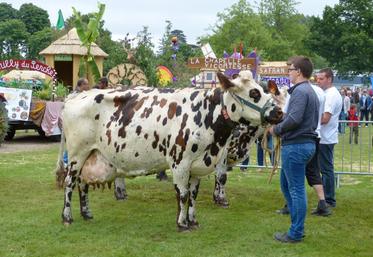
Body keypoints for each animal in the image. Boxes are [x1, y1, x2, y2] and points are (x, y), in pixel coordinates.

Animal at [60, 70, 282, 230]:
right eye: (254, 93)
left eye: (264, 90)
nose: (279, 112)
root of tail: (74, 97)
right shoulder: (180, 163)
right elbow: (182, 194)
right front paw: (182, 223)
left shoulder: (198, 166)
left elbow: (193, 194)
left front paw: (193, 221)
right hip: (77, 154)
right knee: (70, 183)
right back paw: (67, 217)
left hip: (91, 155)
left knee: (83, 184)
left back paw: (87, 213)